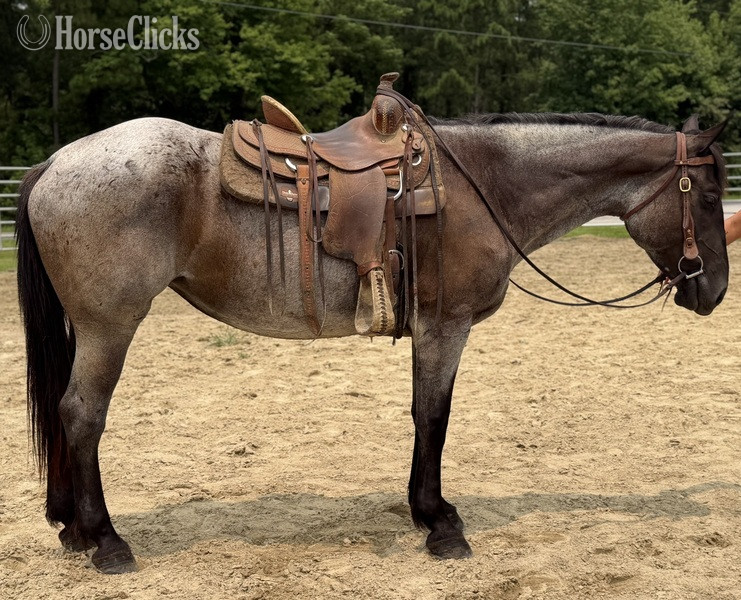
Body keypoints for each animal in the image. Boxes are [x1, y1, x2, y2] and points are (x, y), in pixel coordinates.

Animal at [15, 111, 728, 574]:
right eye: (709, 193)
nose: (714, 290)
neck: (483, 185)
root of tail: (57, 160)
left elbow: (422, 415)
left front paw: (423, 511)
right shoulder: (446, 324)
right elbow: (434, 416)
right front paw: (440, 524)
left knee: (68, 414)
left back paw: (72, 529)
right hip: (110, 325)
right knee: (83, 414)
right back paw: (105, 541)